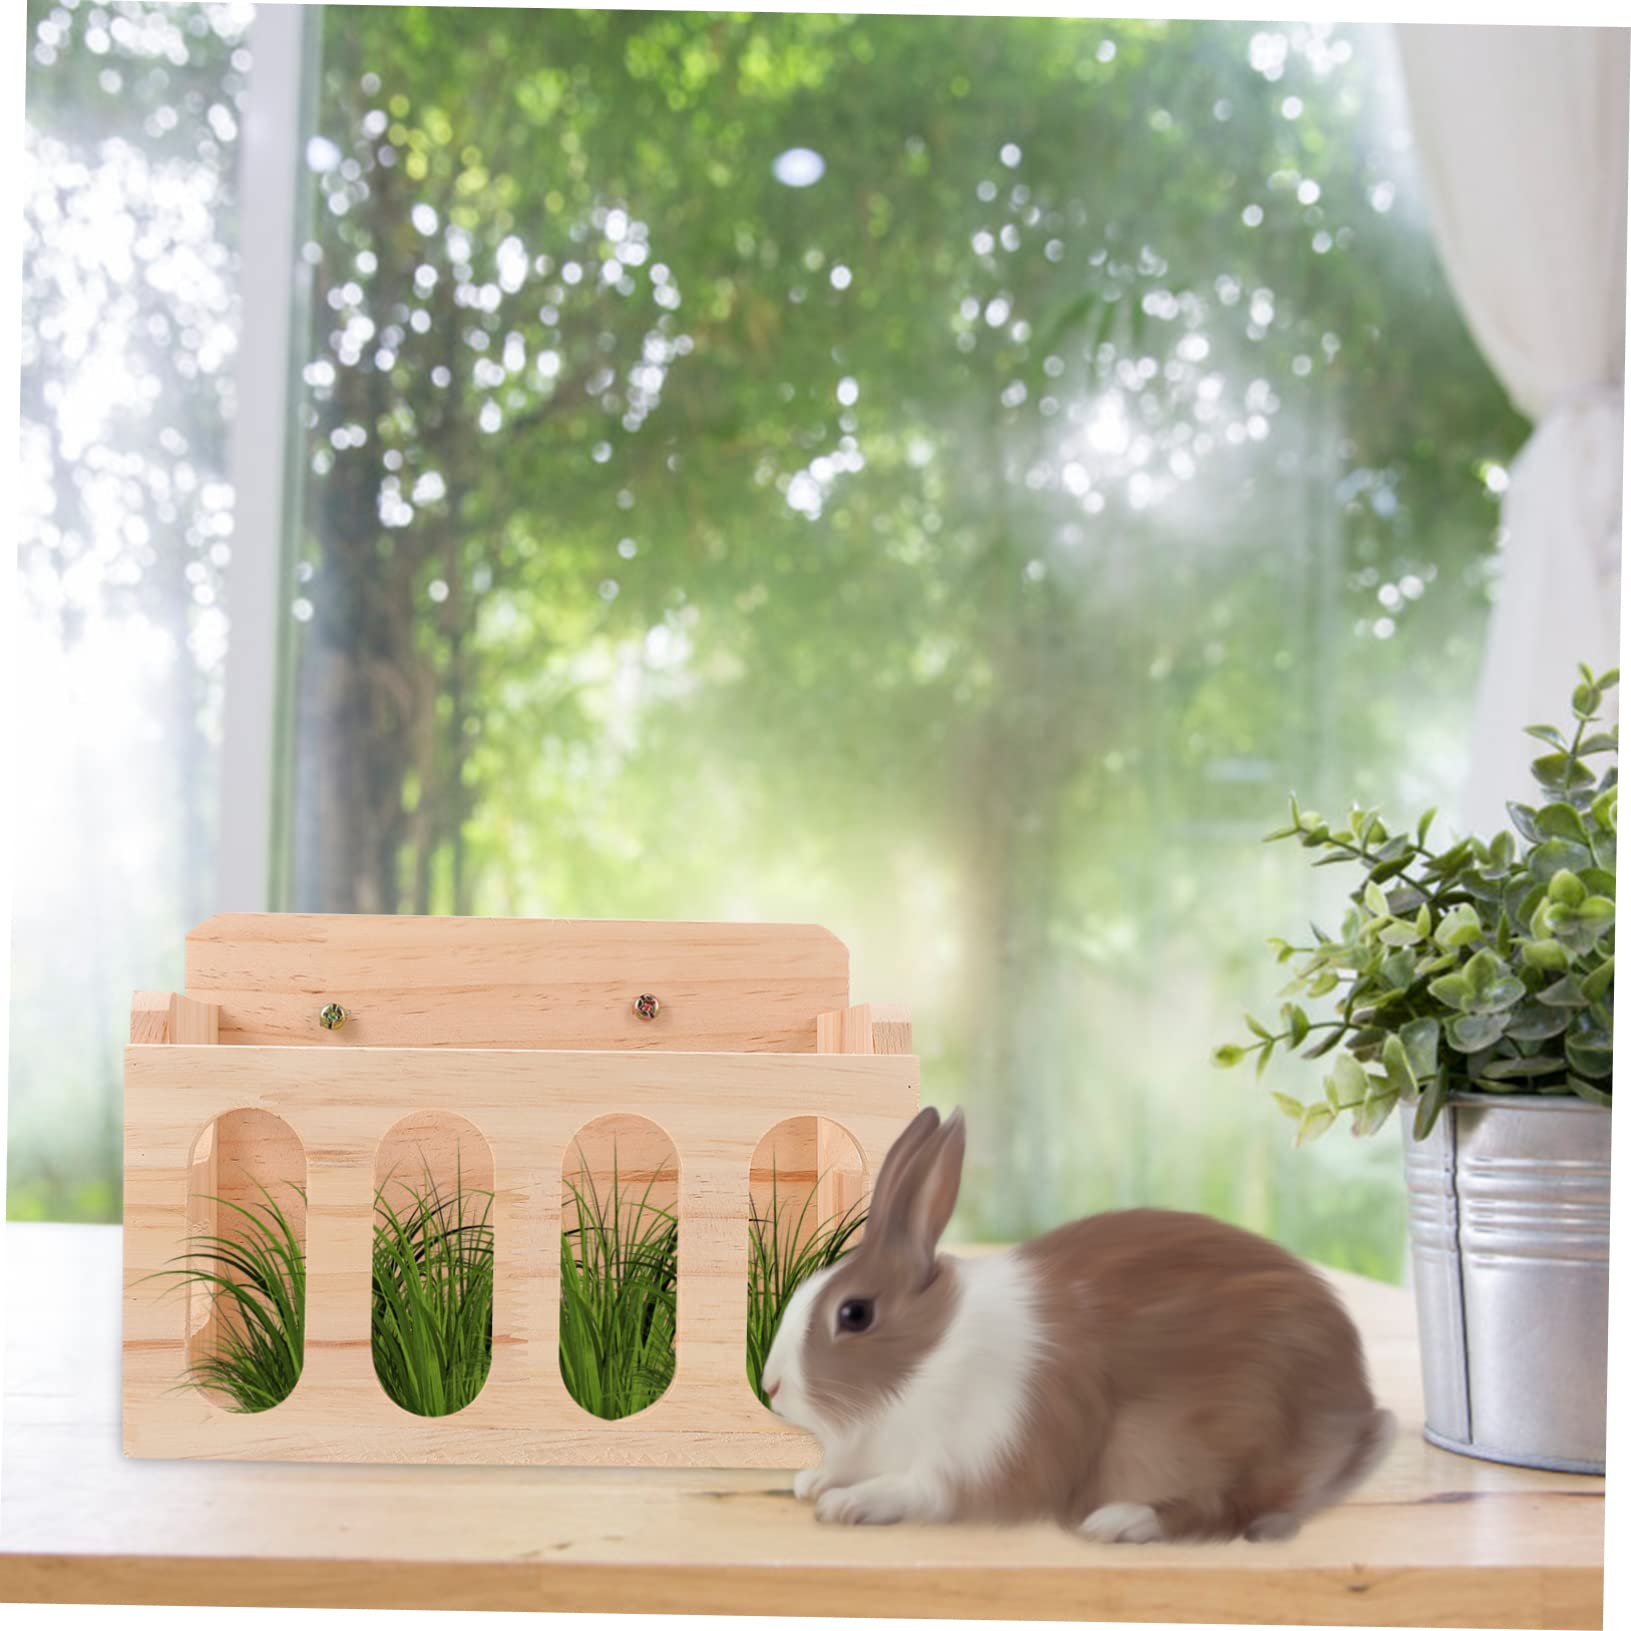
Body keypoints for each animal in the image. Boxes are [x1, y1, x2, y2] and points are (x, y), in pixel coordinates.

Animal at [760, 1105, 1395, 1542]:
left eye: (855, 1314)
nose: (771, 1388)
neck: (930, 1355)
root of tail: (1356, 1414)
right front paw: (813, 1482)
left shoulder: (982, 1456)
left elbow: (922, 1490)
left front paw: (851, 1504)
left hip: (1207, 1435)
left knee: (1223, 1510)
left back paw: (1121, 1522)